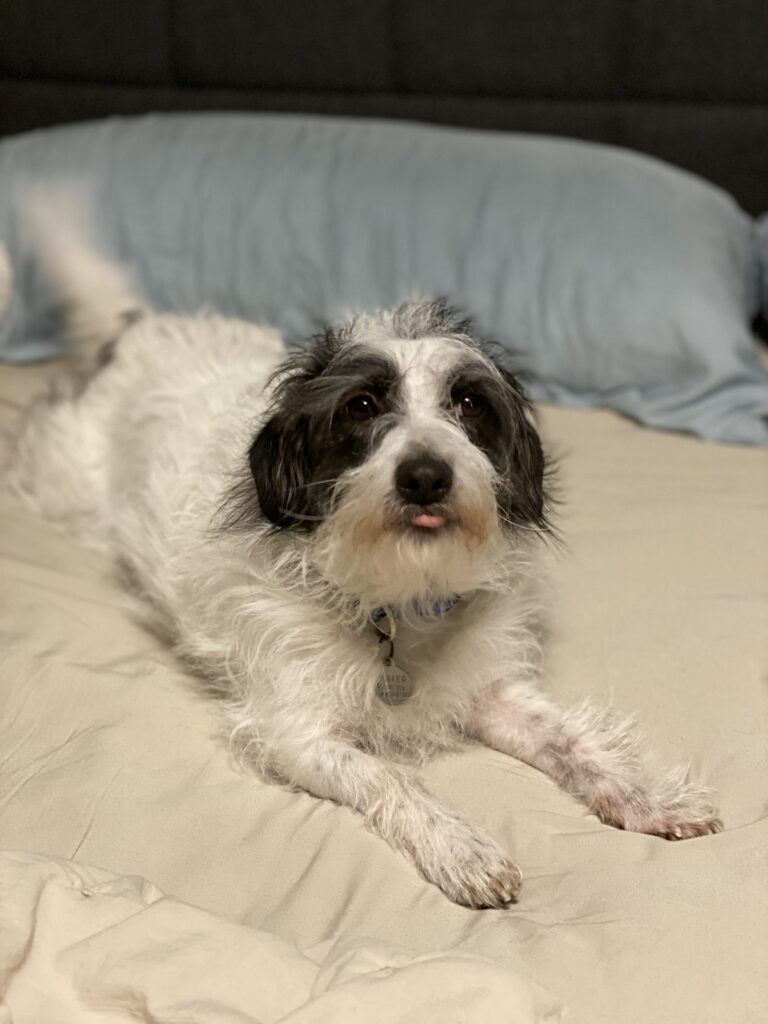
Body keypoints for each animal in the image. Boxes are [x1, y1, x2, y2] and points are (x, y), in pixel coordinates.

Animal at [12, 195, 720, 909]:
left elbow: (572, 741)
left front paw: (647, 796)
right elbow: (389, 777)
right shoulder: (298, 732)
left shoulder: (488, 690)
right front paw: (460, 848)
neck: (396, 604)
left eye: (470, 402)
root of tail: (138, 330)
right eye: (359, 406)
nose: (426, 476)